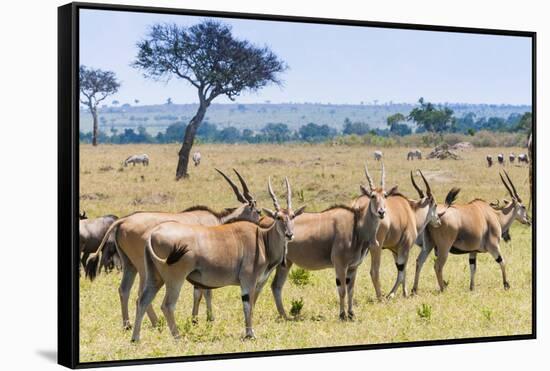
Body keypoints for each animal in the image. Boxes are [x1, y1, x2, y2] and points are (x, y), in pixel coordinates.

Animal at [85, 170, 262, 330]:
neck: (217, 220)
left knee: (124, 290)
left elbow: (200, 292)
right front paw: (206, 319)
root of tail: (123, 221)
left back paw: (128, 325)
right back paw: (156, 323)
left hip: (130, 266)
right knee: (140, 295)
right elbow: (204, 292)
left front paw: (196, 319)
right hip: (145, 268)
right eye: (258, 211)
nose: (262, 224)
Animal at [132, 179, 306, 342]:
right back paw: (177, 337)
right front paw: (250, 334)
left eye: (292, 216)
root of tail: (153, 233)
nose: (290, 234)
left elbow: (252, 305)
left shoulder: (257, 284)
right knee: (167, 305)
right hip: (175, 279)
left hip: (155, 278)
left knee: (142, 300)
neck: (262, 239)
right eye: (278, 217)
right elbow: (247, 305)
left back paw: (135, 338)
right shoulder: (248, 281)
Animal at [364, 170, 446, 300]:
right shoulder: (405, 247)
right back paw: (380, 297)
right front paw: (392, 294)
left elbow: (402, 269)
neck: (411, 212)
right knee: (373, 271)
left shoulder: (395, 250)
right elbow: (402, 271)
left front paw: (404, 292)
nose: (438, 221)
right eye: (435, 204)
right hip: (375, 247)